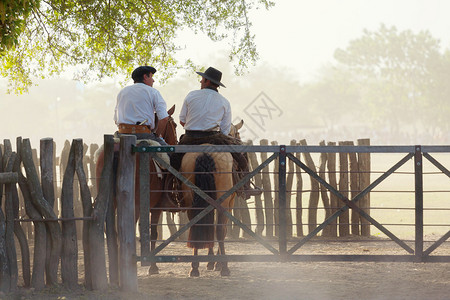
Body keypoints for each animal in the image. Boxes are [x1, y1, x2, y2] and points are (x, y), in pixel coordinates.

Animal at [94, 104, 178, 276]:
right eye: (175, 125)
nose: (177, 142)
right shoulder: (156, 208)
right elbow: (153, 233)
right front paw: (153, 267)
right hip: (136, 205)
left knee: (112, 232)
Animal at [178, 119, 243, 276]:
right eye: (237, 133)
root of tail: (205, 153)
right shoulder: (229, 203)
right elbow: (221, 230)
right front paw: (215, 262)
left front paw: (210, 261)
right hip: (222, 203)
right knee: (219, 230)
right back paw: (224, 267)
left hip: (191, 200)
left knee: (196, 223)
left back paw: (194, 267)